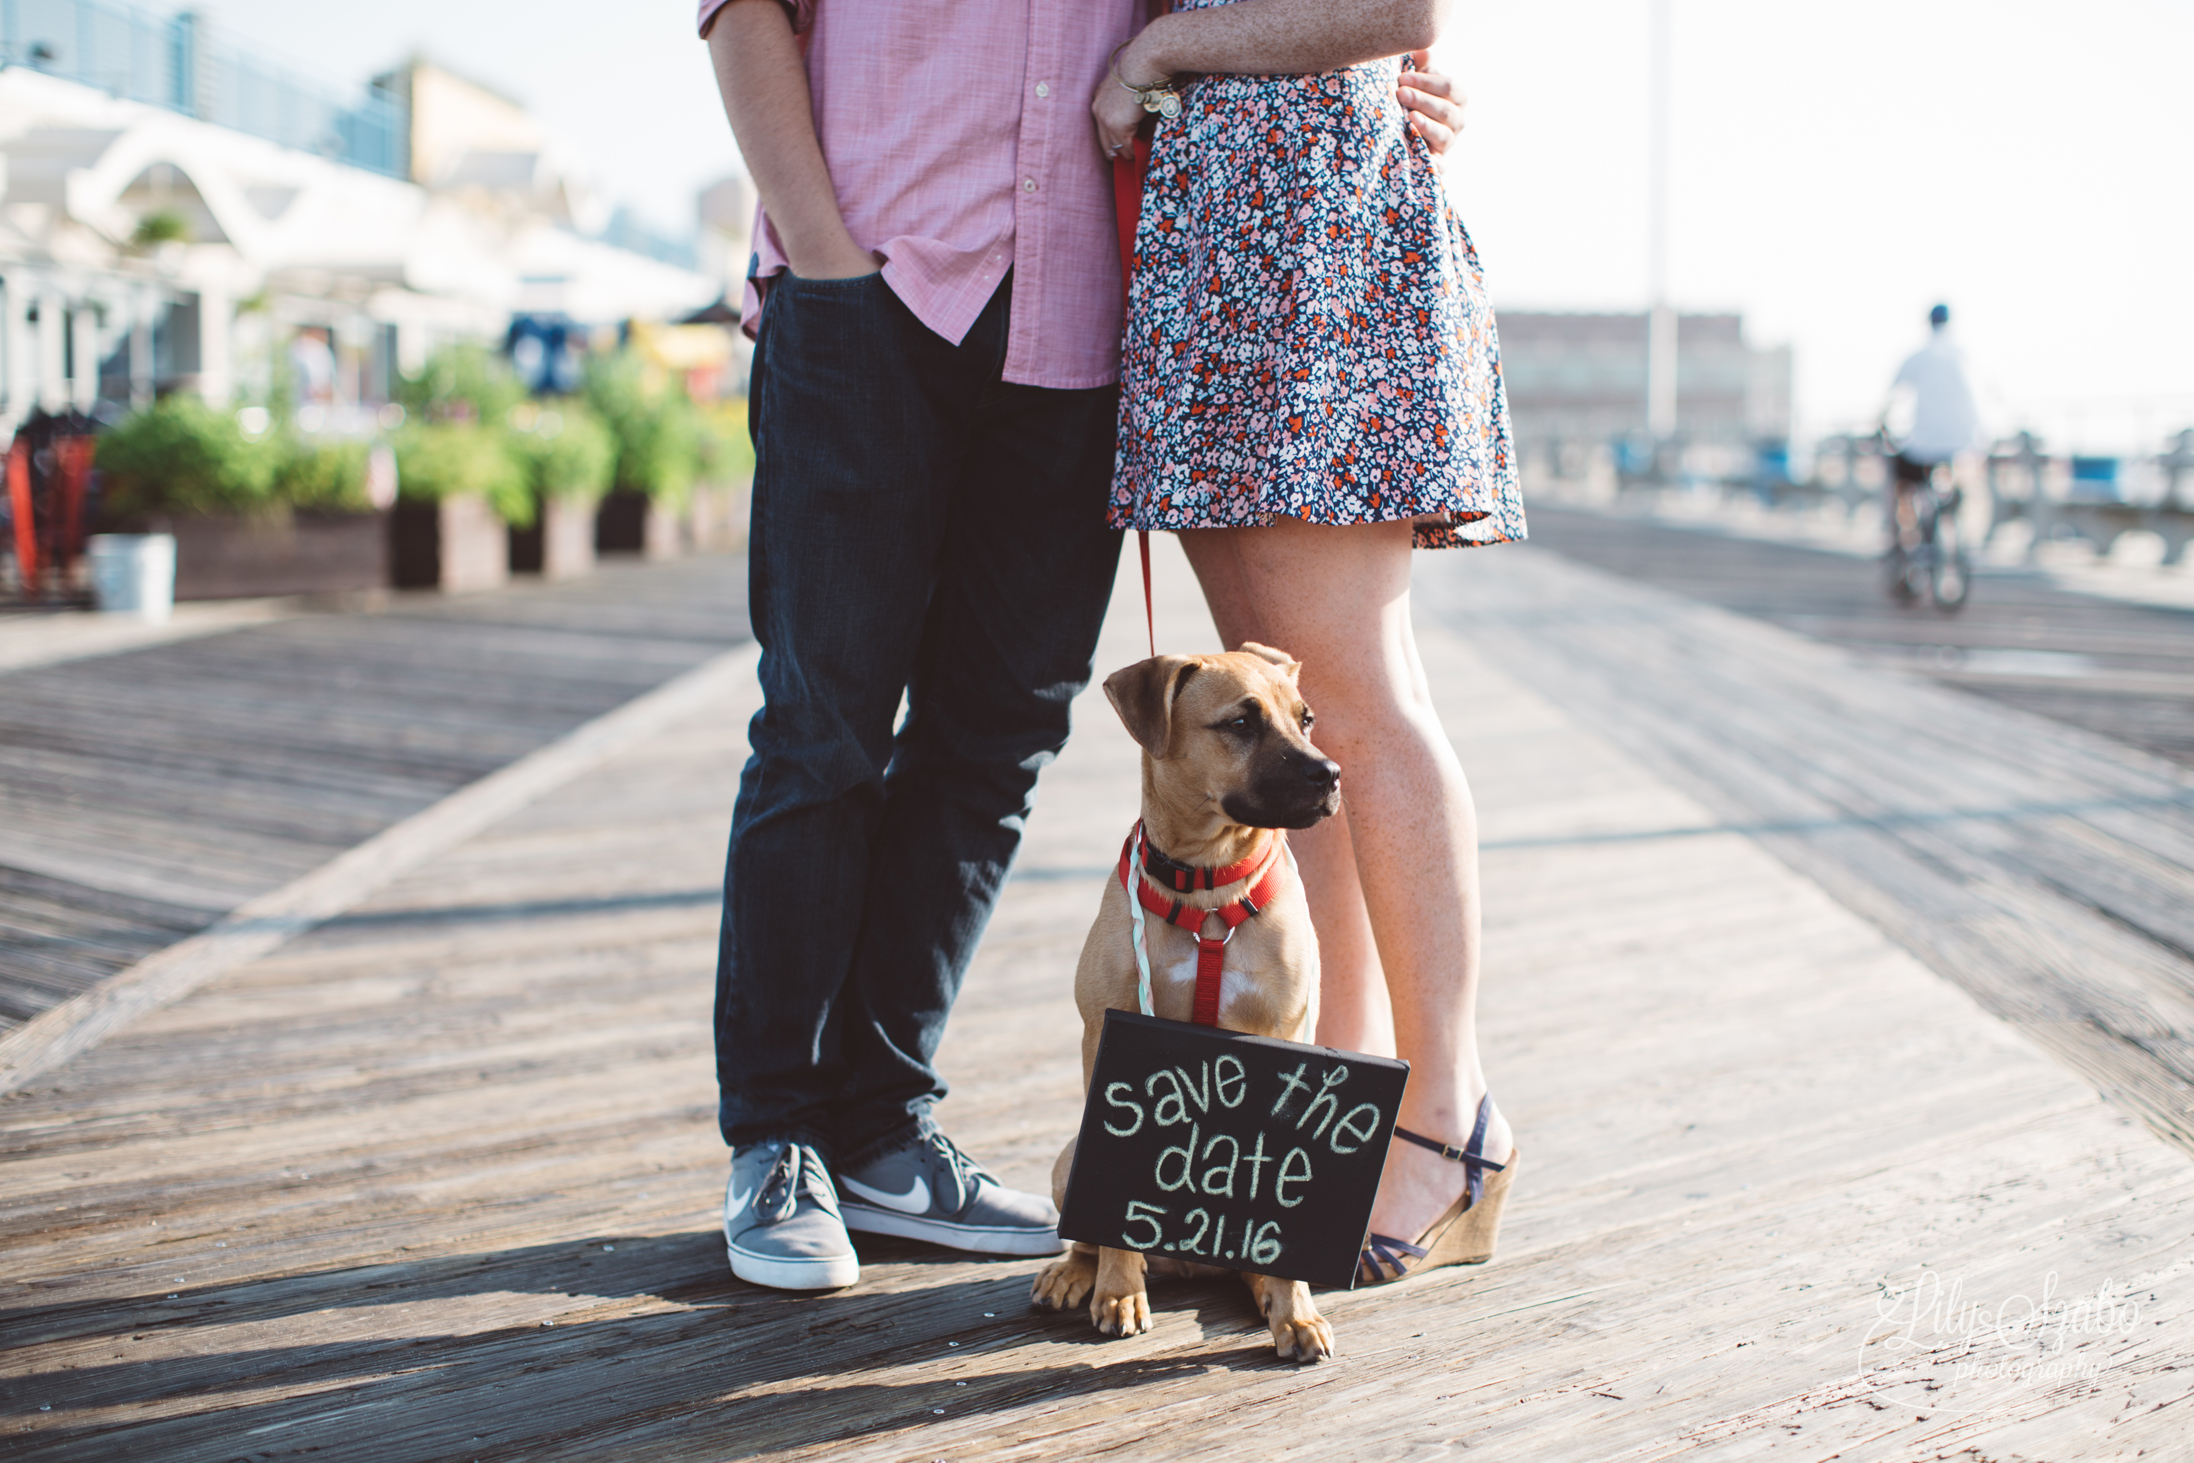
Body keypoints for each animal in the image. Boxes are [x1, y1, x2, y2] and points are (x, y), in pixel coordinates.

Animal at [1031, 640, 1351, 1359]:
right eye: (1241, 723)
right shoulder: (1108, 1039)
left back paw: (1271, 1294)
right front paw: (1118, 1289)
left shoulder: (1287, 1036)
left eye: (1306, 718)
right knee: (1084, 1233)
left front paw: (1296, 1309)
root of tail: (1190, 1259)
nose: (1331, 774)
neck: (1207, 884)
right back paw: (1076, 1272)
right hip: (1069, 1155)